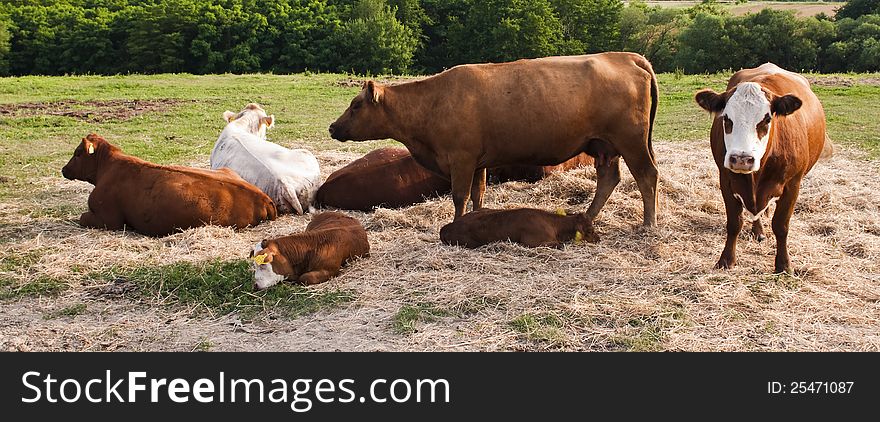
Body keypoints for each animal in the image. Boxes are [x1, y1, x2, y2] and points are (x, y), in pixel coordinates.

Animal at [62, 133, 276, 236]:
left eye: (77, 153)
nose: (64, 169)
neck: (108, 166)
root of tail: (263, 197)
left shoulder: (110, 220)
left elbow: (82, 217)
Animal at [696, 62, 832, 274]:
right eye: (726, 118)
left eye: (767, 119)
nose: (741, 159)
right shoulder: (726, 181)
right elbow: (734, 223)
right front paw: (726, 260)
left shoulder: (793, 185)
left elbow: (781, 225)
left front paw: (783, 265)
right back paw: (758, 231)